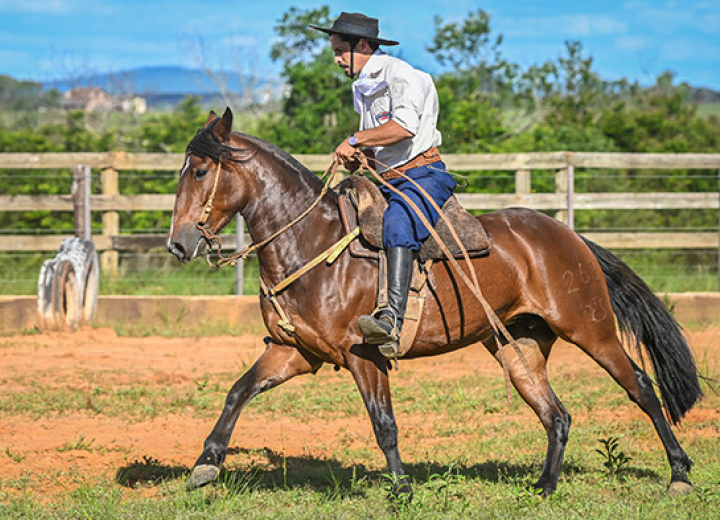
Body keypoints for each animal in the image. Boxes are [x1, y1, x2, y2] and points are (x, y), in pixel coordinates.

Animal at [166, 108, 700, 500]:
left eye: (200, 170)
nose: (177, 244)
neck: (313, 243)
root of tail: (567, 234)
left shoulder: (364, 355)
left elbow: (384, 424)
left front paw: (401, 490)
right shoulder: (294, 352)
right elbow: (238, 391)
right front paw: (205, 465)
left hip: (590, 328)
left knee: (642, 388)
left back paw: (679, 474)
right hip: (517, 347)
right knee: (556, 414)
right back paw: (546, 486)